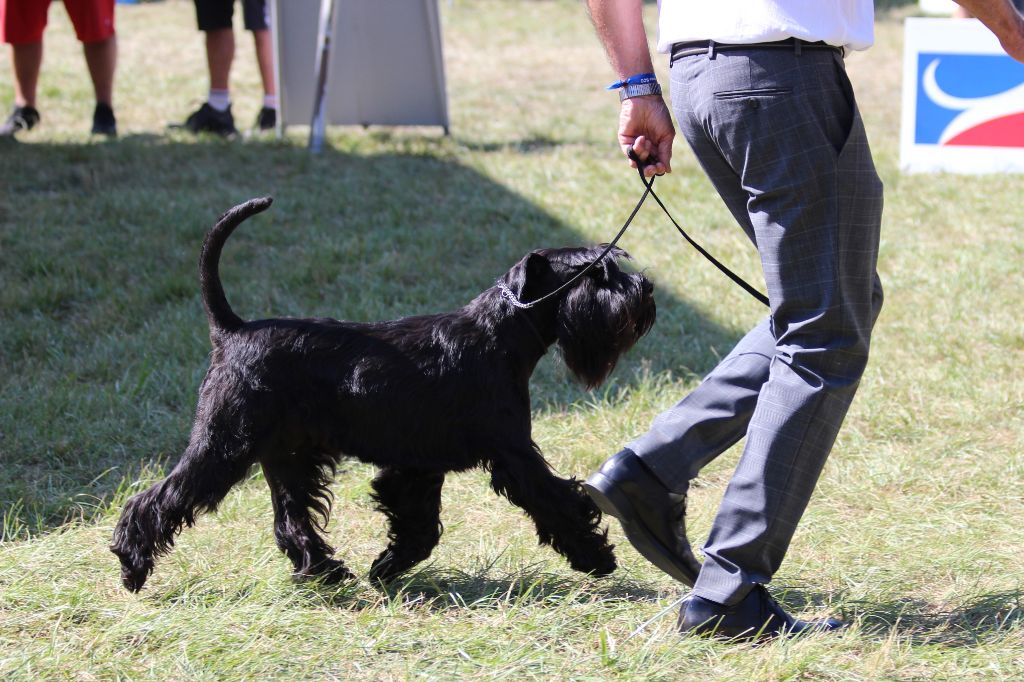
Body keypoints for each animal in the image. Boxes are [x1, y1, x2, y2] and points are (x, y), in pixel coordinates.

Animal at [112, 196, 655, 589]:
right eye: (595, 274)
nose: (645, 289)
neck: (500, 333)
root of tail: (231, 330)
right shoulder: (513, 454)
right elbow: (556, 499)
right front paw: (596, 557)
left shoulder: (417, 465)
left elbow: (417, 525)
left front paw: (386, 568)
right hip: (223, 446)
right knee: (156, 499)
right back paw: (131, 565)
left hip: (288, 457)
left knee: (291, 520)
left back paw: (326, 573)